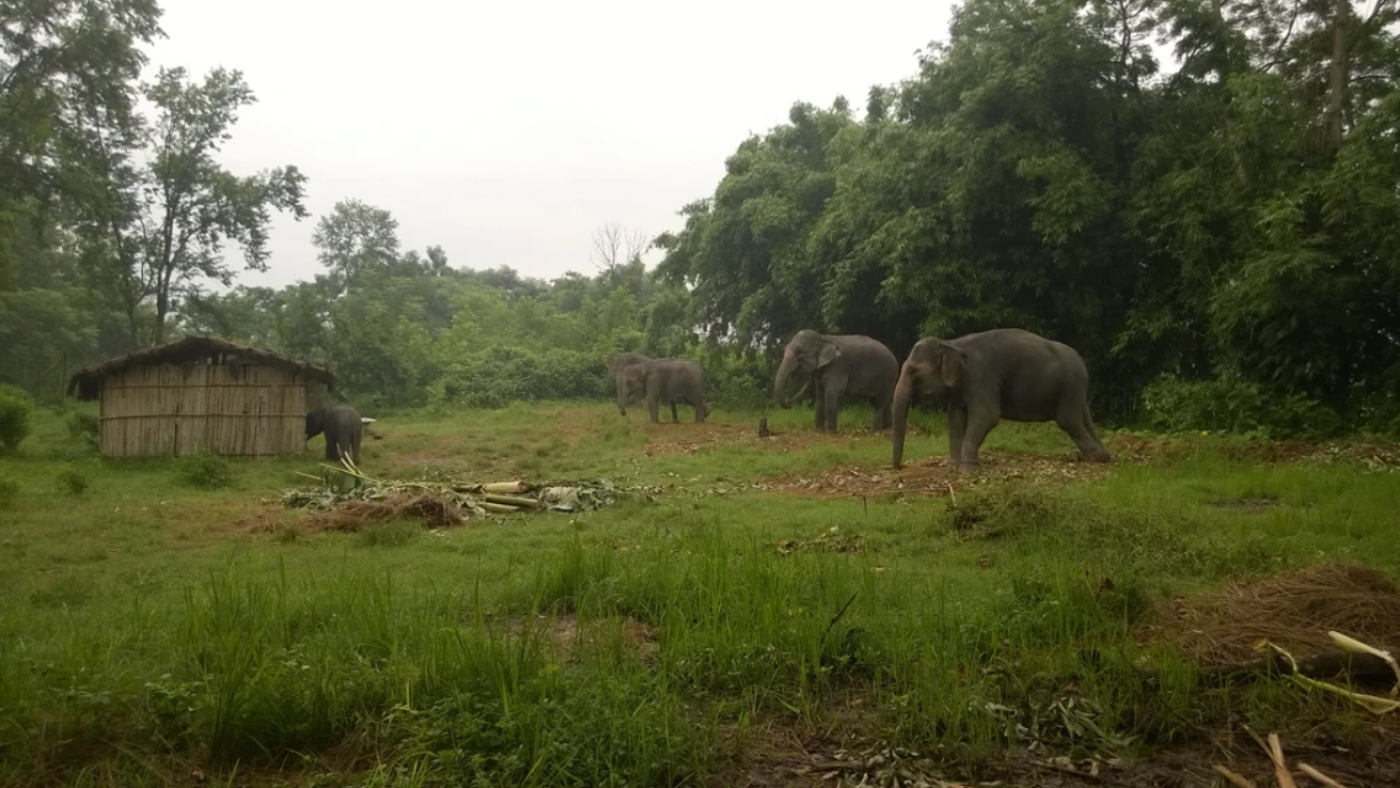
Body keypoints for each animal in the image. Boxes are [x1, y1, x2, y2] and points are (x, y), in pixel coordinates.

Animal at [772, 330, 901, 433]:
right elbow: (820, 396)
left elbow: (832, 394)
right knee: (880, 400)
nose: (788, 400)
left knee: (879, 402)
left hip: (889, 375)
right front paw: (819, 431)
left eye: (799, 352)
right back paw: (887, 427)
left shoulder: (838, 366)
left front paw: (830, 432)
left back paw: (873, 431)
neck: (823, 337)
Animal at [890, 328, 1108, 473]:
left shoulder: (981, 376)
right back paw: (1102, 455)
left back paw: (1099, 457)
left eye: (913, 372)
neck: (951, 342)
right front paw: (955, 466)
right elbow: (956, 418)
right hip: (1075, 391)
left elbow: (987, 415)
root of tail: (1082, 362)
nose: (899, 468)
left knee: (1068, 421)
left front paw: (968, 471)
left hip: (1070, 386)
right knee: (1082, 419)